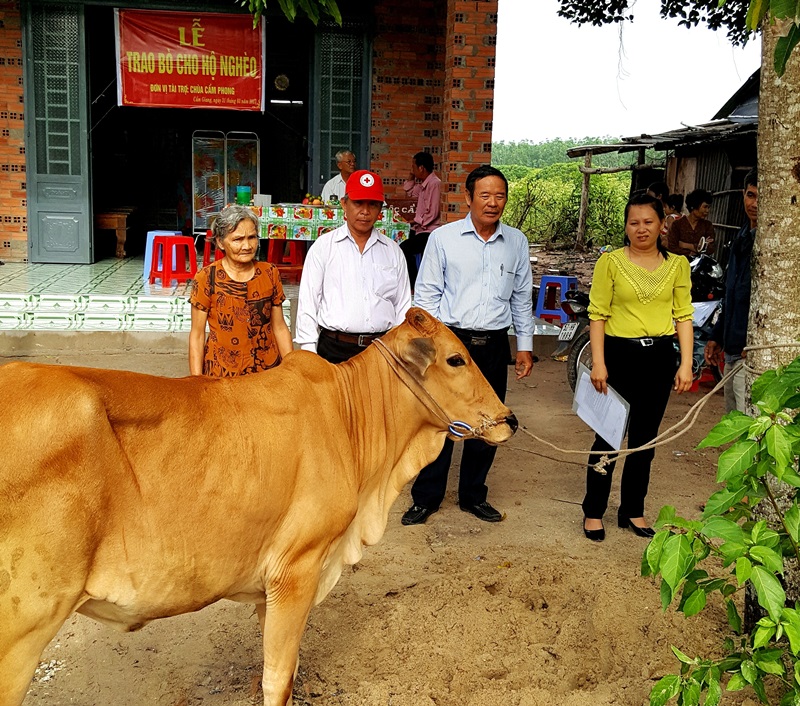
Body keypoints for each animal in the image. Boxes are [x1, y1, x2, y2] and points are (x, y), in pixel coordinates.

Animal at [0, 307, 517, 706]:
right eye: (456, 359)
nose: (509, 420)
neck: (351, 419)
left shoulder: (273, 585)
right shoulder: (297, 570)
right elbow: (278, 679)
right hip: (22, 631)